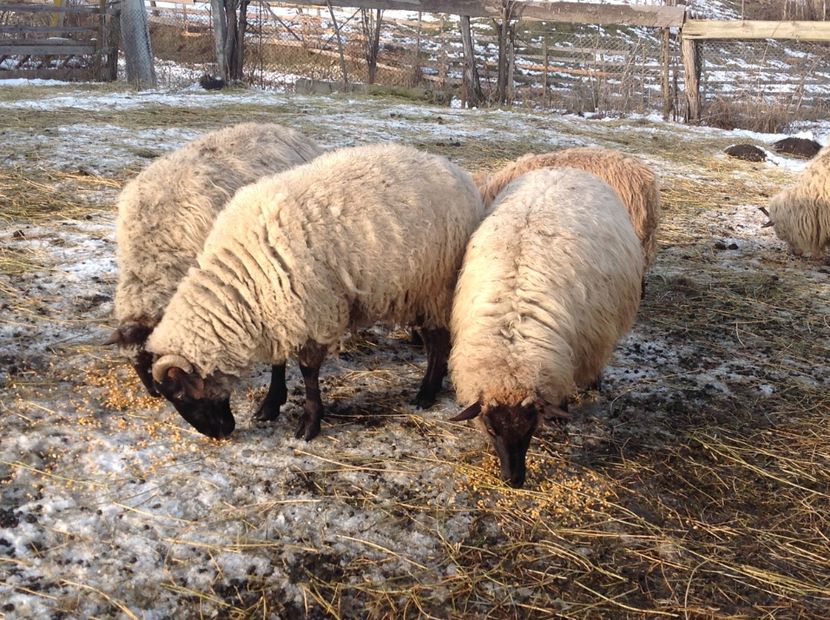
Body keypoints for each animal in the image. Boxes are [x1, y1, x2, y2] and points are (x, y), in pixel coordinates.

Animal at [146, 142, 488, 440]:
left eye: (180, 393)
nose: (219, 433)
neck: (241, 280)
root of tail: (455, 171)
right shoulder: (279, 311)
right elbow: (278, 362)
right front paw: (270, 404)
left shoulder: (317, 312)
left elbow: (308, 371)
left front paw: (309, 424)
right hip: (416, 290)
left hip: (434, 286)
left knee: (438, 341)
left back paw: (426, 393)